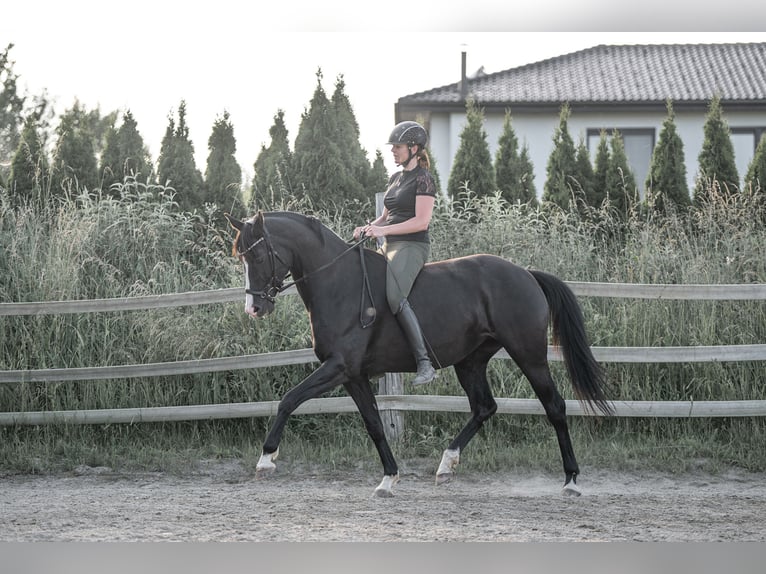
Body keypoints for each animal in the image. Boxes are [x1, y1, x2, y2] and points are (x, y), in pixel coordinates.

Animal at [224, 211, 613, 497]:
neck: (338, 283)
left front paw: (266, 458)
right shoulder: (353, 375)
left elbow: (289, 399)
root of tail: (526, 274)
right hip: (470, 362)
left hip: (528, 355)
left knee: (554, 407)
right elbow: (374, 424)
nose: (254, 308)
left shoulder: (339, 367)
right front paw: (388, 479)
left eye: (257, 254)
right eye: (241, 257)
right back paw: (446, 465)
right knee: (484, 407)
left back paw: (571, 481)